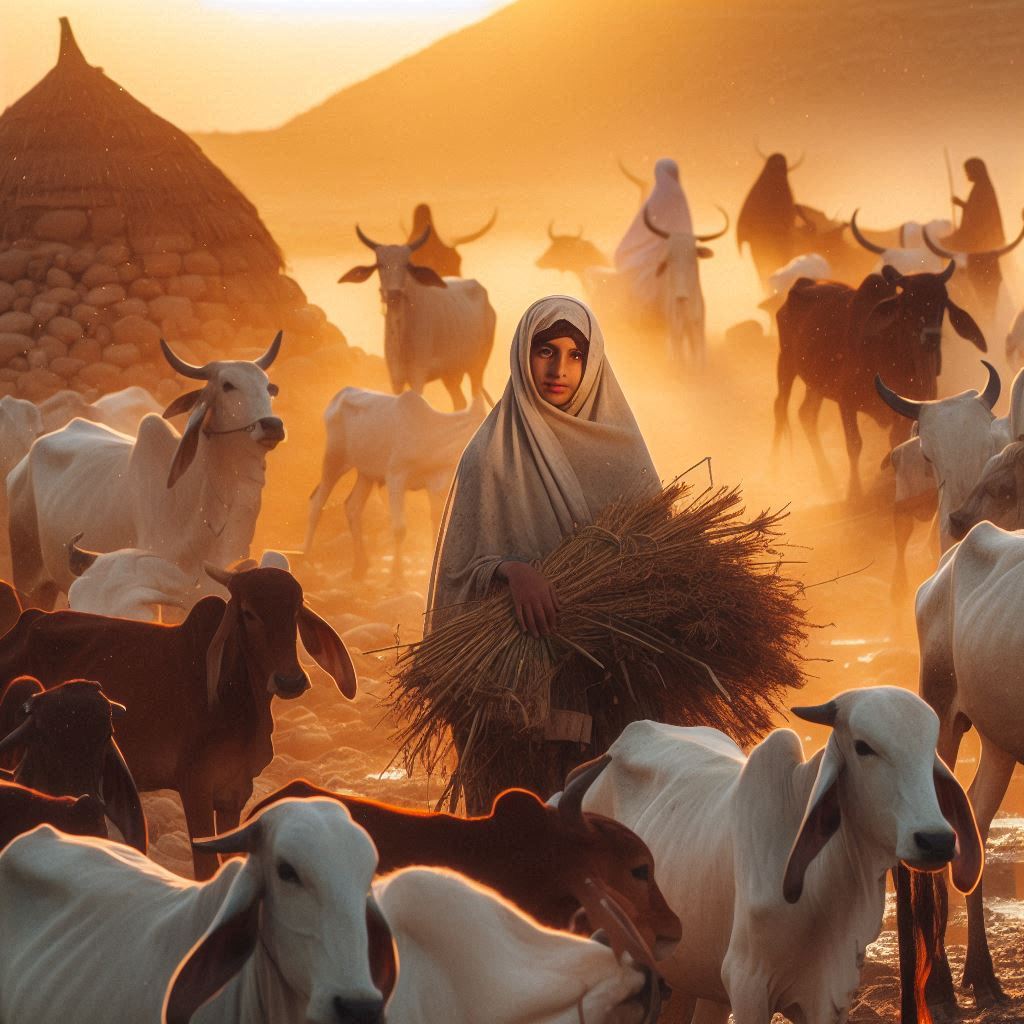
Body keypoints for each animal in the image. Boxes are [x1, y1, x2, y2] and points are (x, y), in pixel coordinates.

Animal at [304, 387, 485, 579]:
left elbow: (437, 524)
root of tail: (341, 395)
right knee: (317, 503)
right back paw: (306, 558)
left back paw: (360, 566)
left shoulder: (432, 484)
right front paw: (397, 578)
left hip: (366, 475)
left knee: (352, 507)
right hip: (334, 462)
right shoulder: (395, 477)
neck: (429, 430)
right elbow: (399, 529)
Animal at [339, 225, 496, 410]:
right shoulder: (396, 379)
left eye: (406, 264)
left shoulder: (417, 377)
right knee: (460, 403)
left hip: (477, 367)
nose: (394, 294)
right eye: (380, 265)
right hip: (451, 374)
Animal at [563, 688, 982, 1024]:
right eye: (864, 747)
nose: (936, 840)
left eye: (929, 750)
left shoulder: (829, 993)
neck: (820, 892)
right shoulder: (748, 985)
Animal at [775, 262, 987, 500]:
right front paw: (854, 492)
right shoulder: (846, 402)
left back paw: (828, 479)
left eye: (942, 302)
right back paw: (773, 474)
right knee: (780, 410)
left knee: (806, 414)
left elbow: (897, 441)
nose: (931, 338)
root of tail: (803, 282)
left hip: (815, 384)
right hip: (785, 364)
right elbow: (854, 444)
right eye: (907, 303)